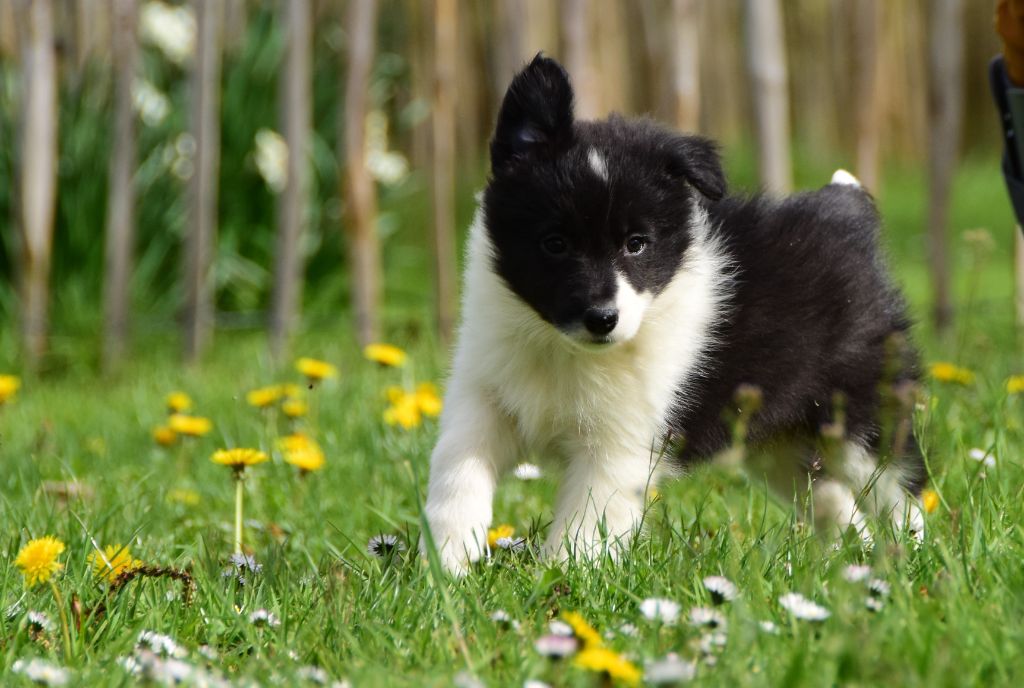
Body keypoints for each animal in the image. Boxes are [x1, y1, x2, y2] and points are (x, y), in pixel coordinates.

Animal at [419, 56, 925, 573]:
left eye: (636, 244)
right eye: (554, 243)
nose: (602, 318)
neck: (563, 350)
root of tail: (844, 209)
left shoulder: (621, 445)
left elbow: (585, 525)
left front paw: (562, 581)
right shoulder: (484, 396)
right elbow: (456, 470)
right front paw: (447, 562)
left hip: (861, 415)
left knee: (899, 489)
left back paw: (912, 558)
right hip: (777, 442)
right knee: (830, 497)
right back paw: (852, 563)